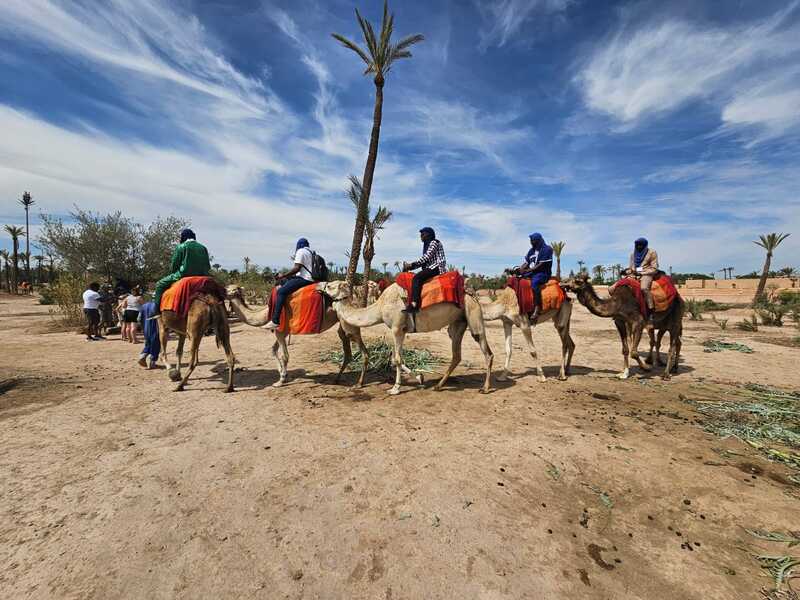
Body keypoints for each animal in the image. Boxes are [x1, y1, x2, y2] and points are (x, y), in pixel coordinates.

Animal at [225, 286, 368, 390]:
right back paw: (337, 379)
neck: (265, 313)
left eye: (227, 289)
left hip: (350, 326)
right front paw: (282, 373)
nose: (221, 290)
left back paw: (359, 383)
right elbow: (273, 350)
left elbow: (284, 356)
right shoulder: (283, 332)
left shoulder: (280, 331)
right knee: (347, 352)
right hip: (342, 325)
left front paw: (280, 381)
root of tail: (352, 300)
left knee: (363, 351)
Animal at [322, 280, 490, 394]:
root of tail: (472, 294)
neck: (380, 307)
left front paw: (395, 389)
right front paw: (420, 379)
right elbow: (396, 358)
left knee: (487, 351)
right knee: (456, 355)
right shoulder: (403, 330)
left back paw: (485, 388)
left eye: (330, 286)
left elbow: (396, 359)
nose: (320, 287)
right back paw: (438, 385)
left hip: (473, 315)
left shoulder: (396, 328)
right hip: (458, 323)